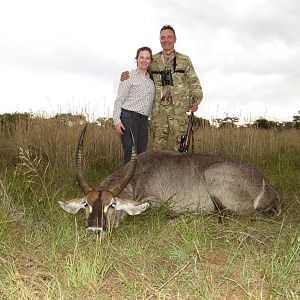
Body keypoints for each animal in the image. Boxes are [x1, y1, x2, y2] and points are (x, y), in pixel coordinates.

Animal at [59, 124, 284, 234]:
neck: (138, 176)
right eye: (86, 204)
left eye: (111, 205)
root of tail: (269, 187)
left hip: (214, 177)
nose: (95, 229)